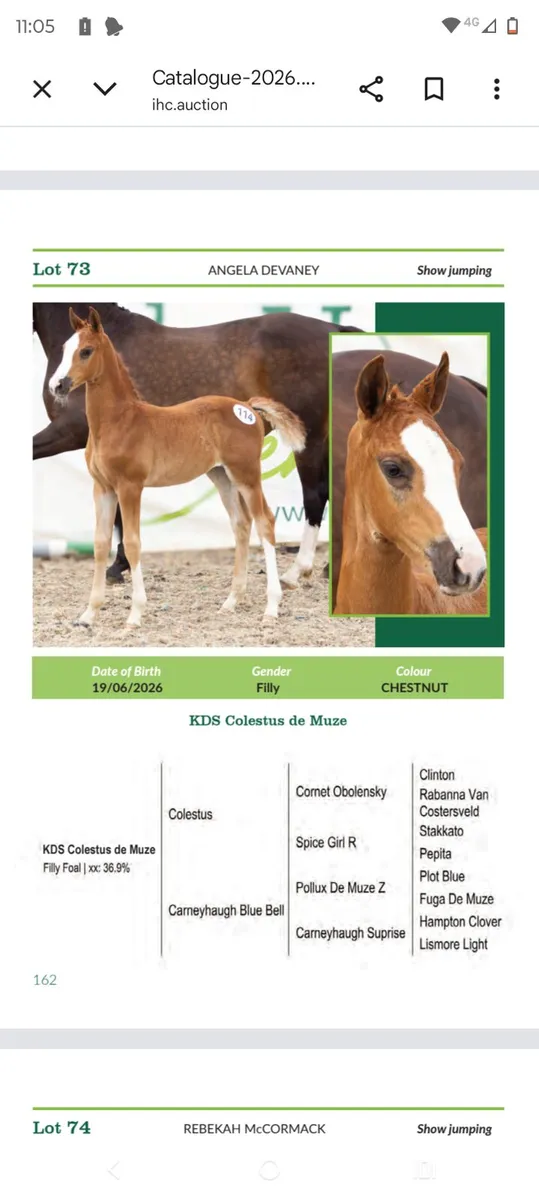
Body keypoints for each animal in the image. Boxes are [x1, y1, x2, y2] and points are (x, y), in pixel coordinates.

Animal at [34, 303, 359, 588]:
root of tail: (331, 329)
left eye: (85, 351)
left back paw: (296, 572)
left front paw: (119, 566)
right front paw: (120, 565)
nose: (58, 386)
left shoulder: (69, 432)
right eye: (66, 348)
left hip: (308, 439)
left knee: (315, 495)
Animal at [49, 308, 306, 630]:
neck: (119, 421)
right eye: (63, 348)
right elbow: (99, 544)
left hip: (246, 474)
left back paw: (271, 607)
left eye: (86, 351)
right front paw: (88, 615)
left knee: (265, 522)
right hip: (221, 476)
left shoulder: (130, 487)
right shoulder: (103, 488)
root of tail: (246, 406)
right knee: (241, 524)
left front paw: (135, 614)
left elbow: (132, 543)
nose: (56, 386)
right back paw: (231, 602)